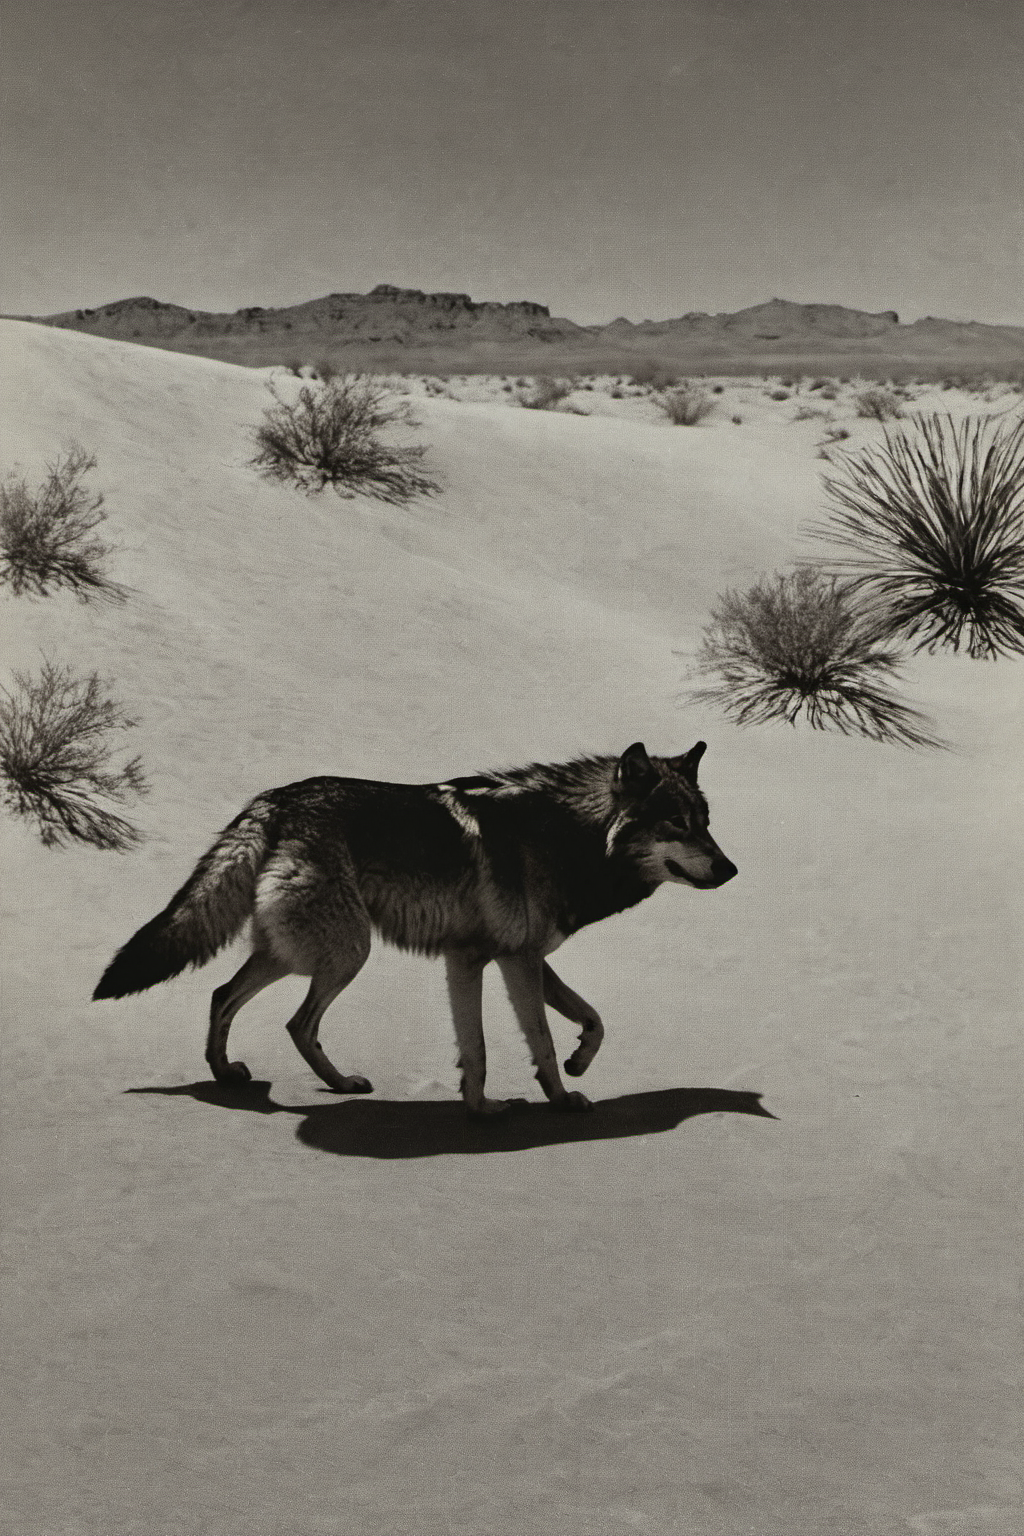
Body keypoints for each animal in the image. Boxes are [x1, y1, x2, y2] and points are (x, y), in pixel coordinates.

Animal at [93, 741, 736, 1114]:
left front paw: (555, 1075)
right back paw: (333, 1086)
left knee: (224, 996)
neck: (566, 840)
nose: (731, 870)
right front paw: (540, 1100)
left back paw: (232, 1074)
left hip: (293, 954)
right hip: (344, 954)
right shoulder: (507, 960)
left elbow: (584, 1021)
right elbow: (533, 1040)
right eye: (677, 825)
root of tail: (273, 802)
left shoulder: (495, 957)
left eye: (706, 822)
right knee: (295, 1021)